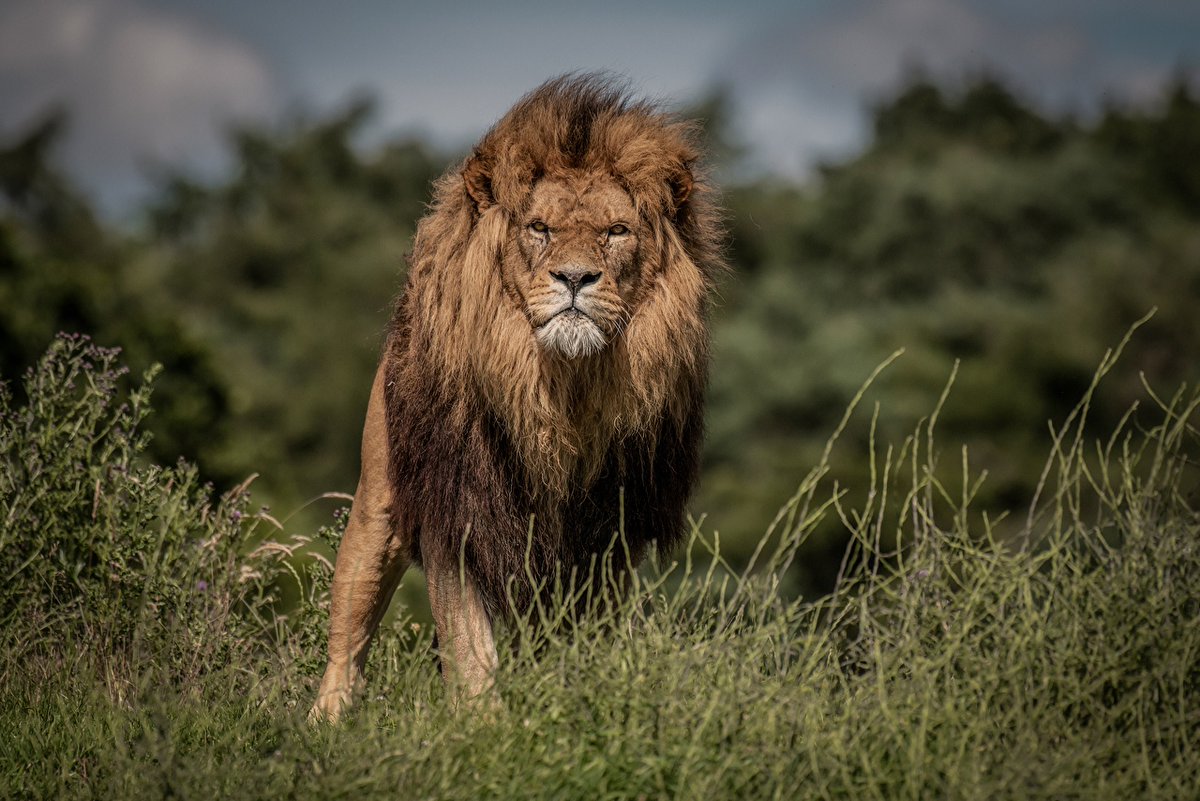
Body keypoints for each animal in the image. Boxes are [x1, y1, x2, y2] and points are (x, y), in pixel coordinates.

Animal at [311, 75, 724, 721]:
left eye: (616, 231)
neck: (561, 388)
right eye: (539, 228)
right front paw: (483, 726)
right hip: (378, 502)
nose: (575, 278)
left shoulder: (606, 534)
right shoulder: (457, 507)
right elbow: (469, 647)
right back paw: (325, 720)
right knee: (348, 629)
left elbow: (584, 641)